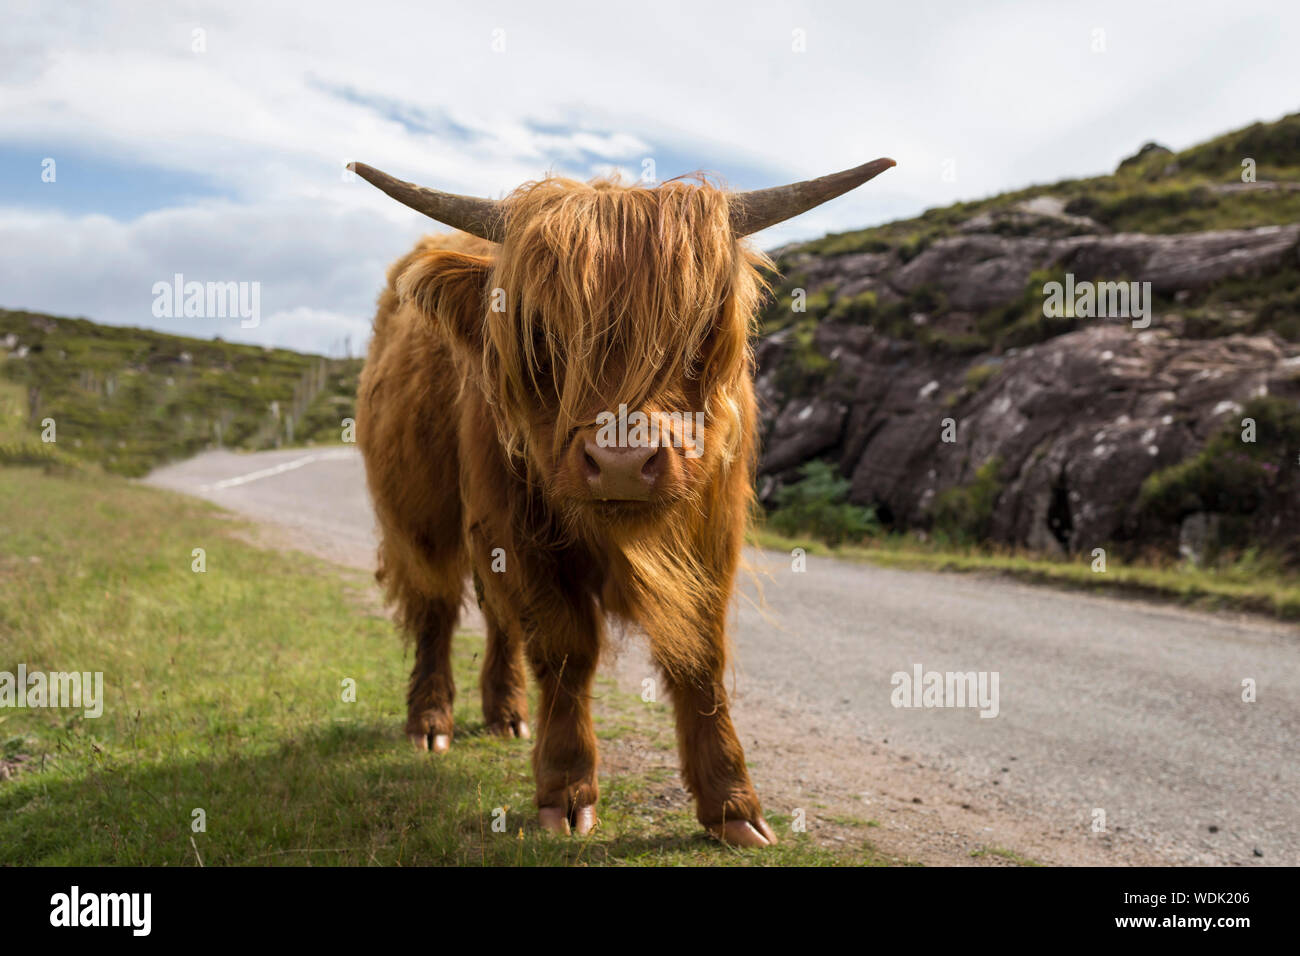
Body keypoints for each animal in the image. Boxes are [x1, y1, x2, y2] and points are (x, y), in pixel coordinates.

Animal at [348, 155, 894, 842]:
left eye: (699, 326)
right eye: (540, 332)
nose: (622, 464)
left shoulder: (711, 539)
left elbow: (700, 657)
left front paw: (732, 804)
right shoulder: (518, 534)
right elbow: (564, 649)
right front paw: (565, 791)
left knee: (496, 617)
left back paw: (505, 713)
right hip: (420, 510)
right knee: (436, 607)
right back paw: (430, 722)